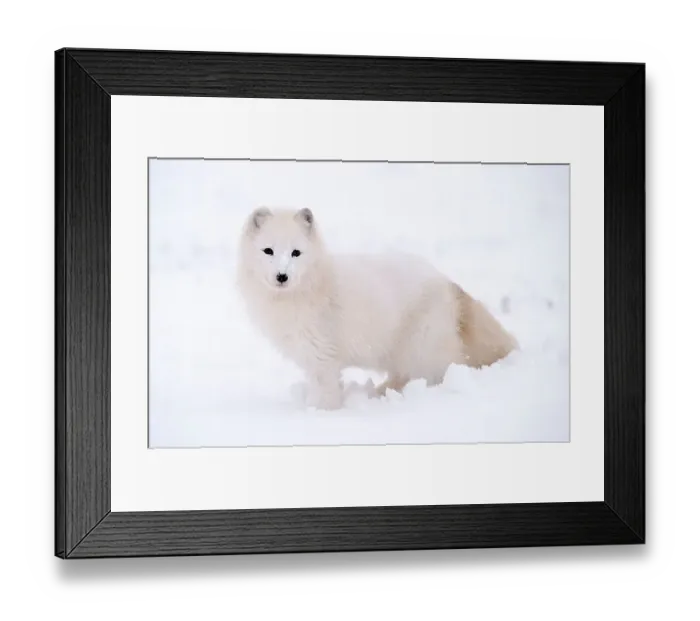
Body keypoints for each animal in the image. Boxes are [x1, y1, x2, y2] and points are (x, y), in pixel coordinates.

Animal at [236, 207, 518, 410]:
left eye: (296, 253)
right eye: (268, 251)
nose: (282, 276)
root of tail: (447, 282)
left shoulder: (322, 354)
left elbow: (325, 390)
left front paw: (320, 413)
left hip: (419, 346)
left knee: (432, 373)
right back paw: (381, 391)